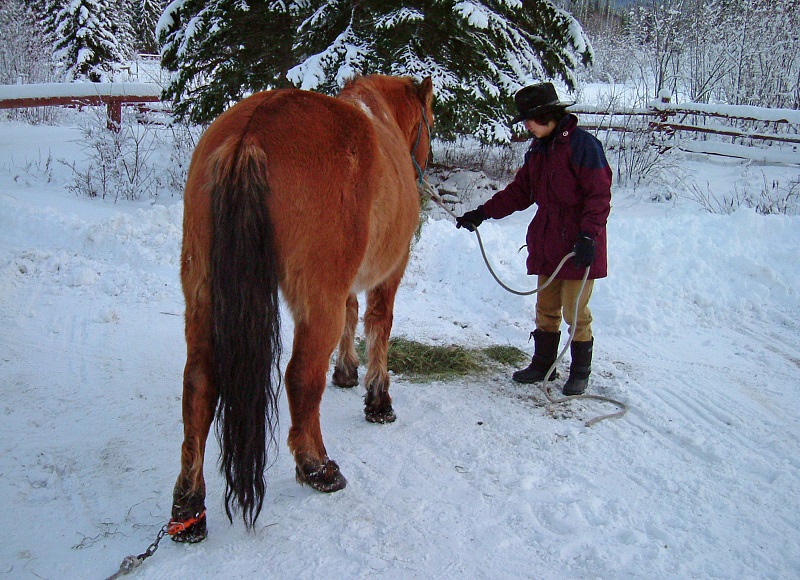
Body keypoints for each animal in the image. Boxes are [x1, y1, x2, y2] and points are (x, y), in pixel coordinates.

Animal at [169, 74, 435, 542]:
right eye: (430, 123)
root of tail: (250, 135)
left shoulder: (348, 283)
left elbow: (352, 315)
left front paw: (346, 372)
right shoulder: (388, 274)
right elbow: (378, 326)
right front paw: (378, 400)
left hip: (202, 292)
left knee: (199, 385)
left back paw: (189, 504)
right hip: (315, 301)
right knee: (300, 378)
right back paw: (317, 467)